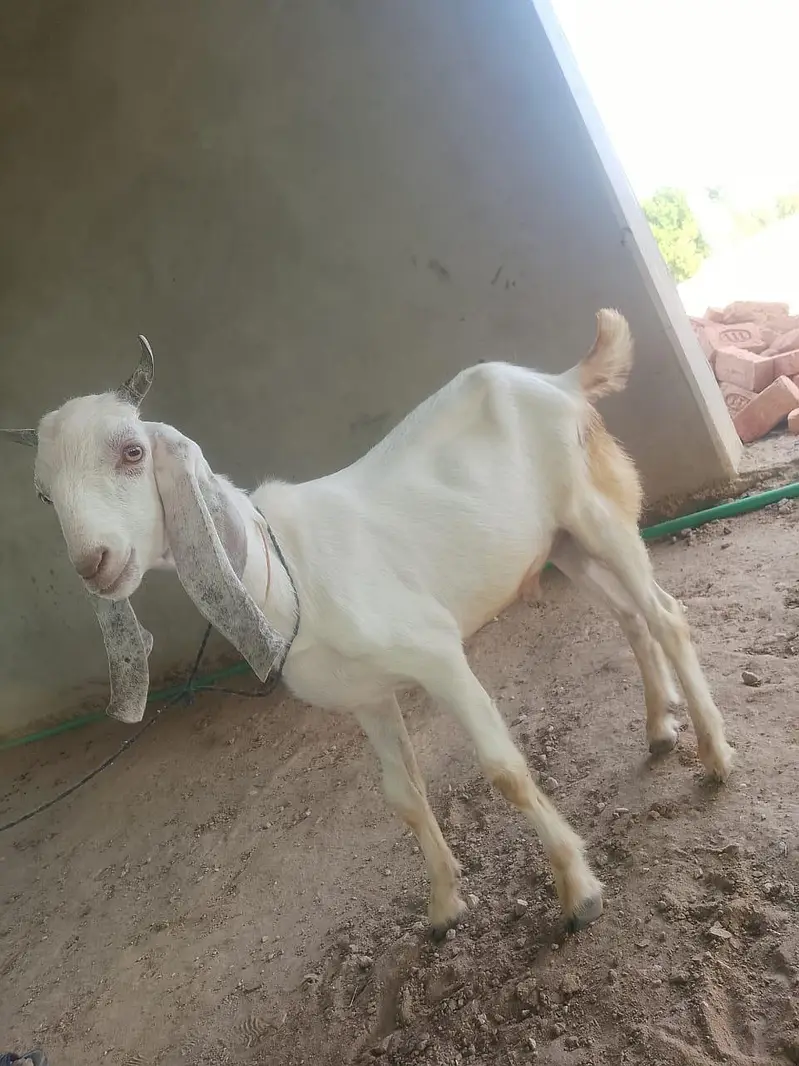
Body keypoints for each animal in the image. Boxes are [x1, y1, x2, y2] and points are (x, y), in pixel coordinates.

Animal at [1, 310, 733, 935]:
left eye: (131, 451)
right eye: (43, 493)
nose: (94, 563)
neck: (288, 573)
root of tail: (560, 381)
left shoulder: (436, 654)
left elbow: (503, 769)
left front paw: (577, 891)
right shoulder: (366, 696)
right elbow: (401, 795)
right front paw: (443, 904)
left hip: (597, 512)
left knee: (665, 615)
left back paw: (715, 758)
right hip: (562, 544)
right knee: (629, 618)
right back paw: (658, 731)